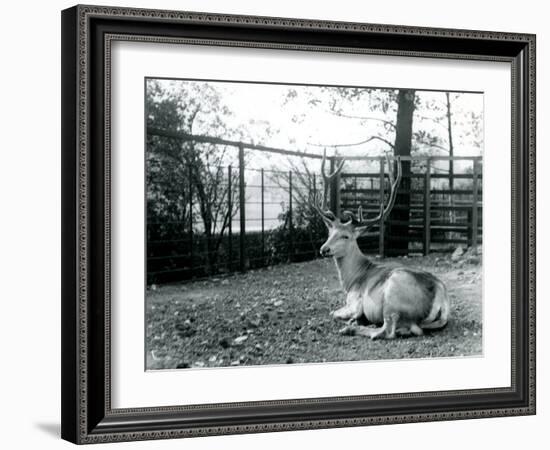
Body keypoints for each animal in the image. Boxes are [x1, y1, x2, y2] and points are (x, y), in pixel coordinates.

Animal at [312, 153, 450, 340]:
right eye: (329, 233)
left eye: (345, 236)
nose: (324, 249)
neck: (352, 281)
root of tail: (439, 295)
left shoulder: (355, 302)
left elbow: (333, 313)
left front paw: (352, 320)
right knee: (412, 329)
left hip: (393, 297)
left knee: (388, 330)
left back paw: (351, 329)